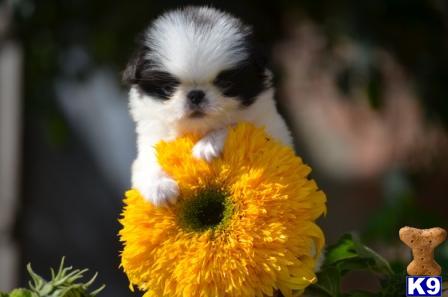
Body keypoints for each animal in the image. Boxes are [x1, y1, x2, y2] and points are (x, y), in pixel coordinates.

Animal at [122, 6, 292, 206]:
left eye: (226, 84)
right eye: (168, 88)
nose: (196, 95)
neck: (198, 130)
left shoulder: (270, 132)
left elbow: (233, 125)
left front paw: (208, 145)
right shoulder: (153, 138)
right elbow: (148, 161)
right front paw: (159, 187)